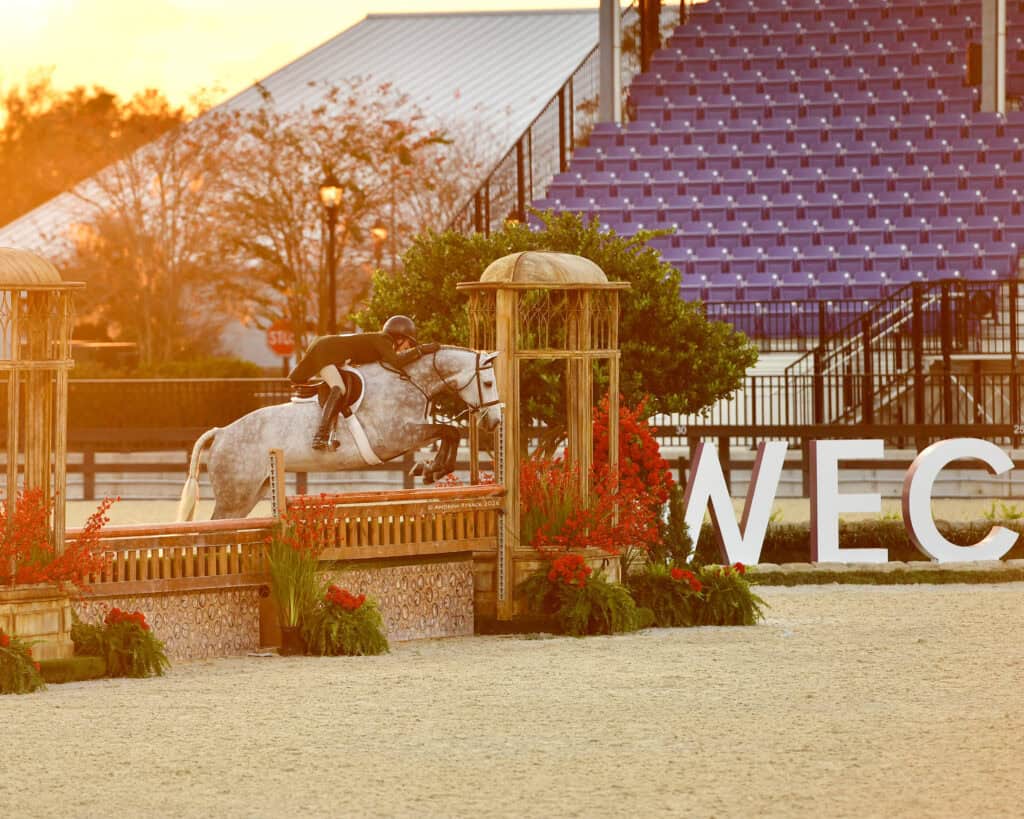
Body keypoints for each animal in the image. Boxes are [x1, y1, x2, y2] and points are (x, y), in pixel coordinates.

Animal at [175, 346, 501, 520]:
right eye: (487, 384)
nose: (494, 422)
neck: (409, 380)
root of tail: (221, 433)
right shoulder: (395, 436)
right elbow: (447, 430)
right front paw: (432, 468)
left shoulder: (406, 434)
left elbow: (447, 433)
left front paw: (431, 468)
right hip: (234, 495)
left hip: (249, 494)